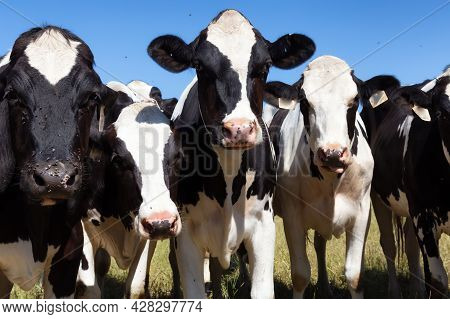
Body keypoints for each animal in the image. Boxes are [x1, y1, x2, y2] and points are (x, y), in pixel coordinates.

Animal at [76, 80, 180, 300]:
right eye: (118, 159)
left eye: (176, 155)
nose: (162, 222)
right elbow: (88, 288)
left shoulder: (146, 232)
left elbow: (136, 286)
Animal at [146, 10, 314, 300]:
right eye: (199, 65)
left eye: (265, 66)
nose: (239, 129)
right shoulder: (186, 233)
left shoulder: (263, 225)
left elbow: (261, 292)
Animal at [262, 55, 400, 300]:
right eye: (305, 101)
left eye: (355, 99)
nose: (332, 153)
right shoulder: (292, 214)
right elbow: (300, 275)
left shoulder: (362, 213)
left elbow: (354, 275)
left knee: (320, 244)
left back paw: (325, 288)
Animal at [362, 68, 450, 300]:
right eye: (441, 114)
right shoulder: (424, 216)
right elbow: (439, 282)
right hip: (379, 197)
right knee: (389, 244)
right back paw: (395, 292)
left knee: (410, 246)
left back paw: (417, 290)